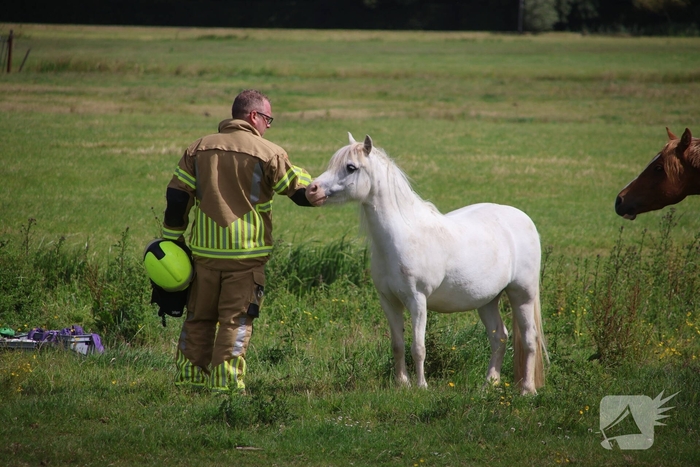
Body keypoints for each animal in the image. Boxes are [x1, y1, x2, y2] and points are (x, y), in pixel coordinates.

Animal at [306, 134, 547, 395]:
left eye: (350, 167)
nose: (310, 190)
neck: (401, 237)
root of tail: (523, 218)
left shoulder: (417, 301)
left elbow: (418, 348)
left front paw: (421, 386)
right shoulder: (388, 301)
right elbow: (398, 345)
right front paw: (401, 383)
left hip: (522, 294)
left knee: (529, 339)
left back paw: (527, 389)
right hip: (487, 300)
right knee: (499, 337)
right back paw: (489, 384)